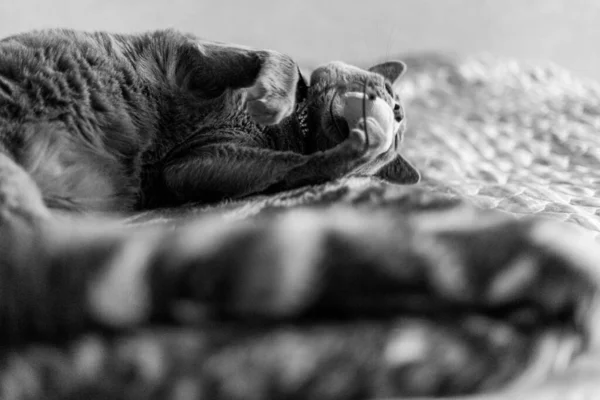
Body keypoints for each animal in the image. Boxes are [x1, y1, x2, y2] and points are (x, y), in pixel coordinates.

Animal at [0, 27, 418, 219]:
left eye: (397, 141)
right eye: (390, 93)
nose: (396, 115)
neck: (294, 131)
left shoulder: (185, 166)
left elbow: (291, 167)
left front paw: (357, 152)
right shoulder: (188, 53)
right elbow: (283, 60)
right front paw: (271, 102)